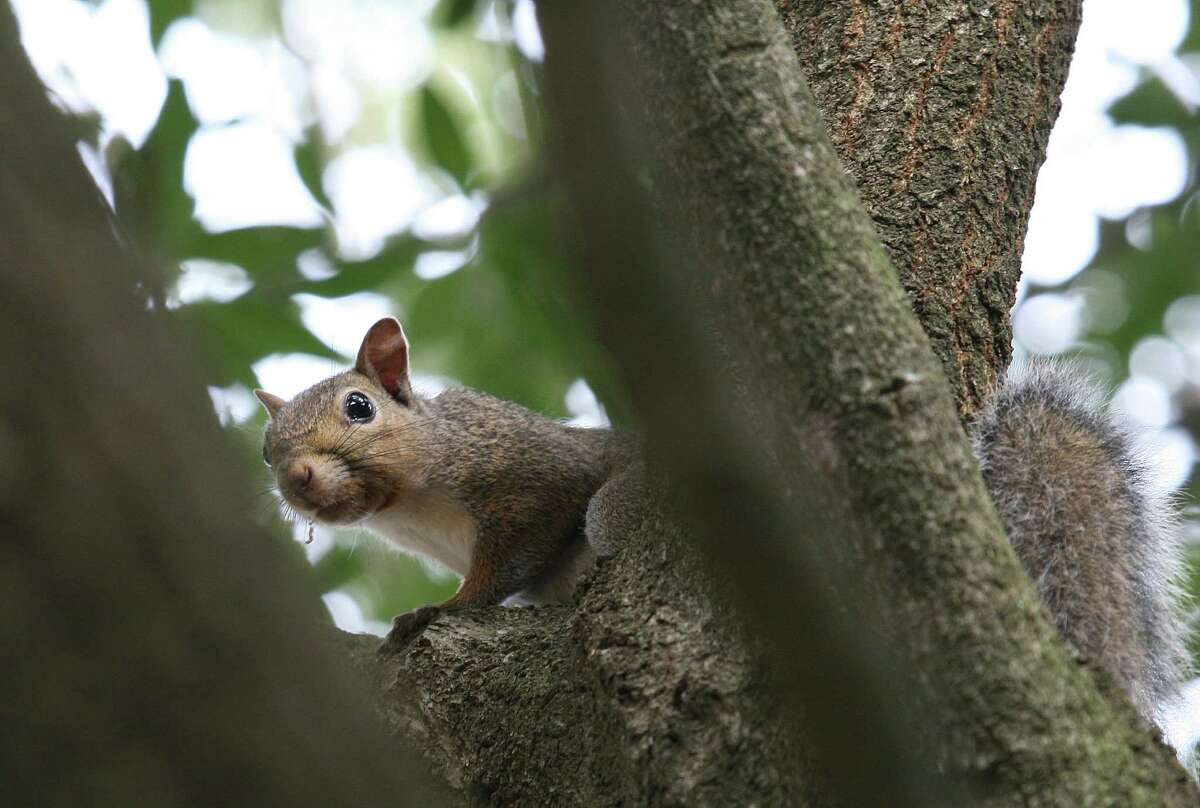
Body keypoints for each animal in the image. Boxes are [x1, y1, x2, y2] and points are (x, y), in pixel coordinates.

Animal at [256, 317, 1189, 725]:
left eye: (359, 407)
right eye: (265, 449)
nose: (297, 477)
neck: (414, 508)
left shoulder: (520, 476)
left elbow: (504, 564)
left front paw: (441, 612)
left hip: (616, 510)